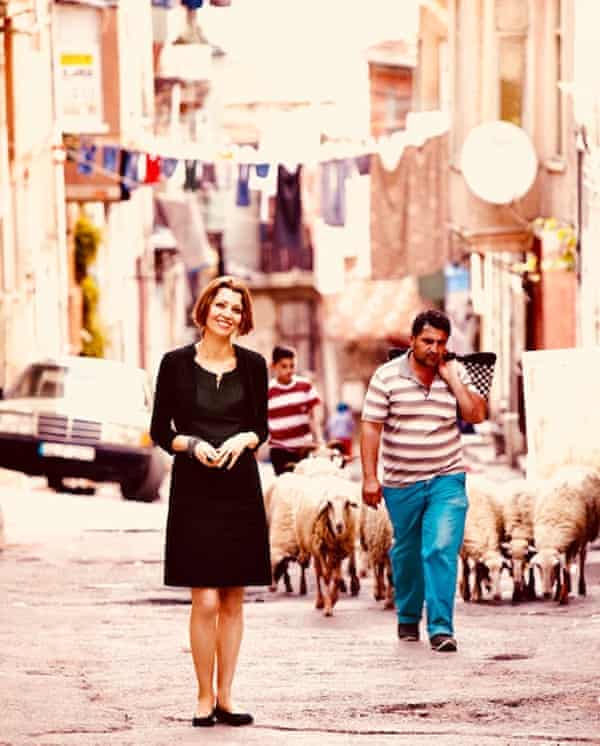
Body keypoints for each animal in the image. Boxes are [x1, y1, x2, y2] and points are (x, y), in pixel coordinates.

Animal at [294, 476, 358, 616]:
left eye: (347, 503)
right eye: (329, 504)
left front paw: (333, 600)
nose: (339, 526)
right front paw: (328, 607)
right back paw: (319, 601)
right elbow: (326, 576)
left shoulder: (338, 550)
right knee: (319, 573)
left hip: (331, 551)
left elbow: (337, 577)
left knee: (331, 571)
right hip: (315, 549)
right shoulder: (320, 549)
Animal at [532, 464, 596, 604]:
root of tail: (575, 466)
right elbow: (562, 573)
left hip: (584, 534)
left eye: (554, 566)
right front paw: (558, 593)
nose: (546, 594)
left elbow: (565, 570)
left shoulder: (573, 543)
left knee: (582, 557)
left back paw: (581, 588)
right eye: (538, 566)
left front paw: (563, 597)